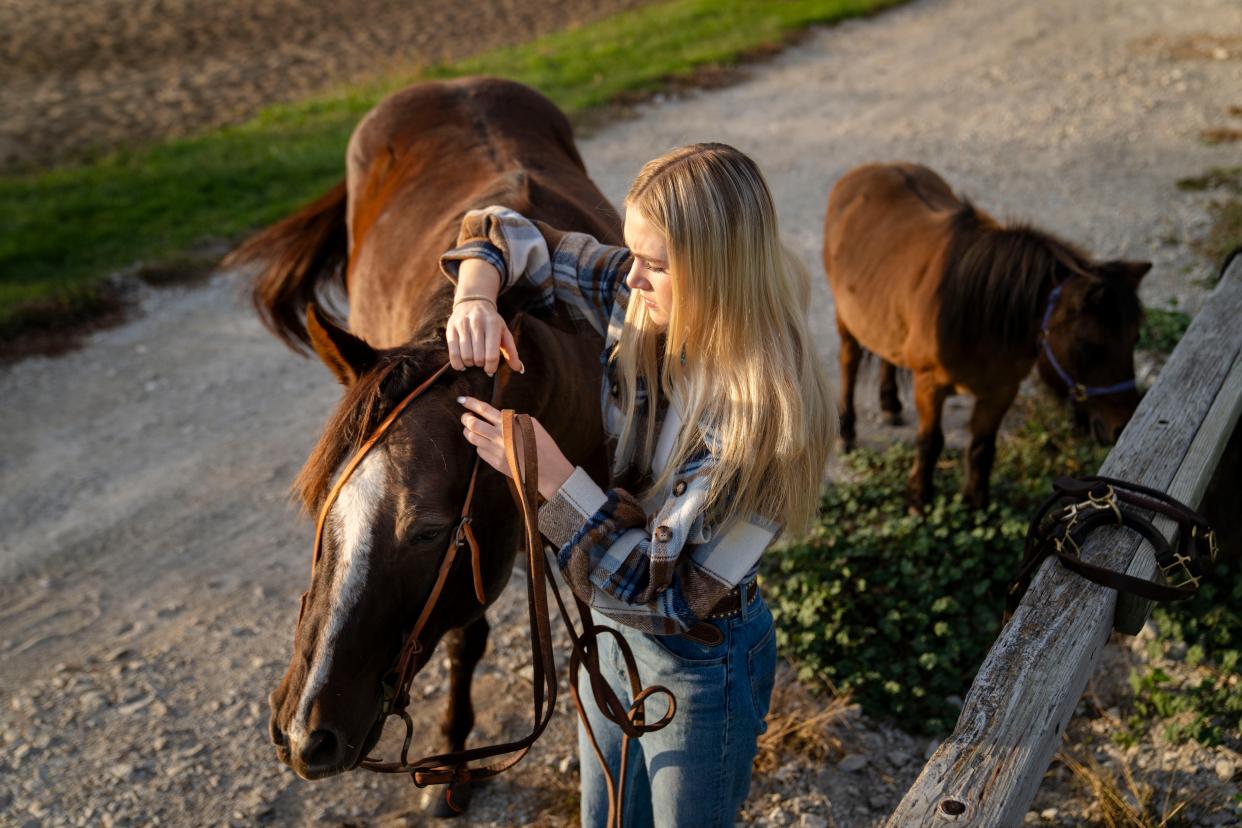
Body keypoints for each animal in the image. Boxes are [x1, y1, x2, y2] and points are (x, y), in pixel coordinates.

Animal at [226, 76, 618, 814]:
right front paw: (456, 760)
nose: (301, 733)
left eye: (431, 532)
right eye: (319, 506)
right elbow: (468, 637)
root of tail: (451, 81)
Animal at [819, 161, 1147, 508]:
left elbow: (982, 445)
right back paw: (847, 431)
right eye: (1089, 346)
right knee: (850, 363)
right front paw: (919, 500)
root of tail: (870, 169)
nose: (1121, 425)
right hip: (846, 320)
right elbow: (930, 442)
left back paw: (890, 403)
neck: (980, 317)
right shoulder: (929, 385)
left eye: (1135, 339)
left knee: (886, 353)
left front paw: (976, 502)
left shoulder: (1002, 389)